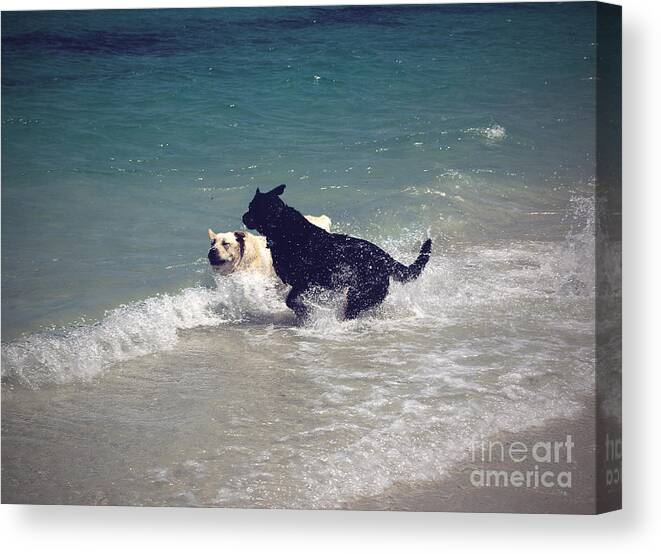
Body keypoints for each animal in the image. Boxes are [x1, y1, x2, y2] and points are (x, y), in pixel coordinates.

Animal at [242, 183, 434, 316]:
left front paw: (304, 312)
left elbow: (290, 300)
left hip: (360, 293)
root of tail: (386, 258)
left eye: (252, 208)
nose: (243, 217)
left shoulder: (304, 282)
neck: (284, 229)